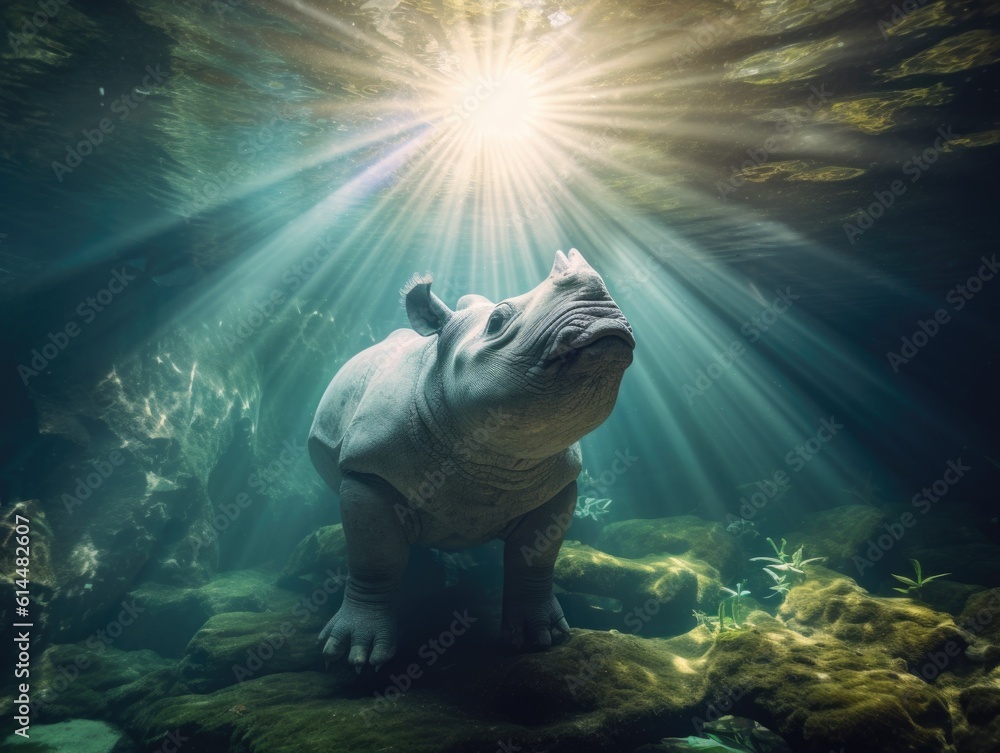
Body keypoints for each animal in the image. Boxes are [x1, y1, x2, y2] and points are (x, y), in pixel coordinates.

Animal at [308, 248, 634, 669]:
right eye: (497, 322)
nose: (601, 312)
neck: (485, 454)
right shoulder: (369, 472)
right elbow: (375, 559)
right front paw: (352, 656)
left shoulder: (558, 484)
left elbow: (535, 560)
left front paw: (542, 638)